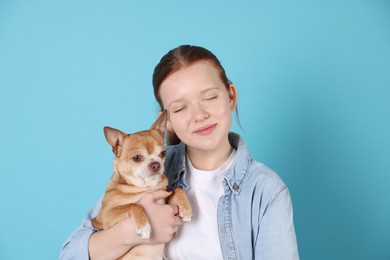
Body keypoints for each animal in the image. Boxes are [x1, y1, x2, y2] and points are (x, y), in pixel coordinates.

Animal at [93, 110, 193, 260]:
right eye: (136, 158)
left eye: (163, 153)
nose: (155, 164)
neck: (147, 187)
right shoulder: (107, 215)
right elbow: (133, 205)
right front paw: (144, 226)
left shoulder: (167, 200)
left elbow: (177, 190)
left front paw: (186, 209)